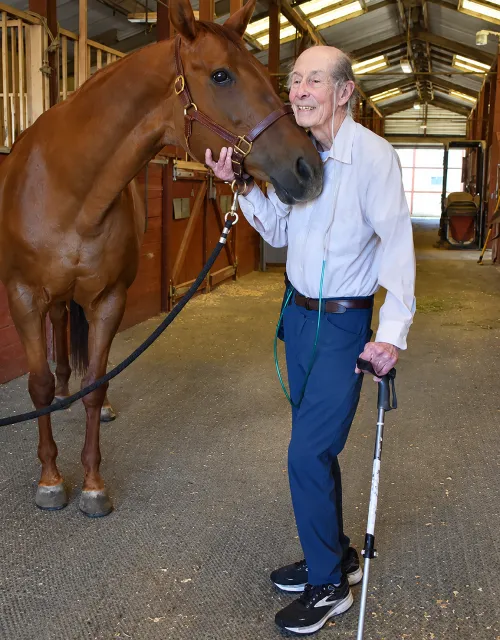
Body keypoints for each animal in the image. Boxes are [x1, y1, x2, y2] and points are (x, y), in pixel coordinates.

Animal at [0, 0, 323, 517]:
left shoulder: (109, 299)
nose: (308, 168)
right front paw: (50, 479)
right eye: (221, 75)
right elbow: (37, 386)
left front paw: (93, 484)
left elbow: (98, 383)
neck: (66, 187)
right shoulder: (24, 297)